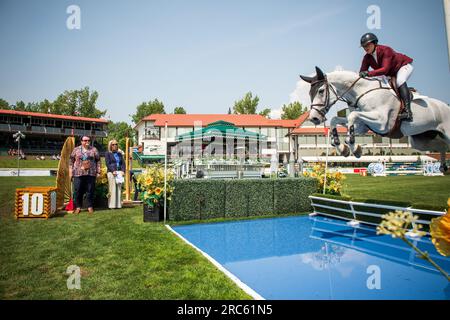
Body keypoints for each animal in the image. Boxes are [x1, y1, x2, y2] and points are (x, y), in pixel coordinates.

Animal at [298, 66, 450, 172]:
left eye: (321, 91)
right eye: (310, 93)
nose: (314, 118)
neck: (361, 92)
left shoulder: (382, 123)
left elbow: (352, 116)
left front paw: (354, 148)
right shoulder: (363, 126)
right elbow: (335, 120)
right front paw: (343, 148)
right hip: (420, 141)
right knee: (441, 145)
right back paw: (443, 167)